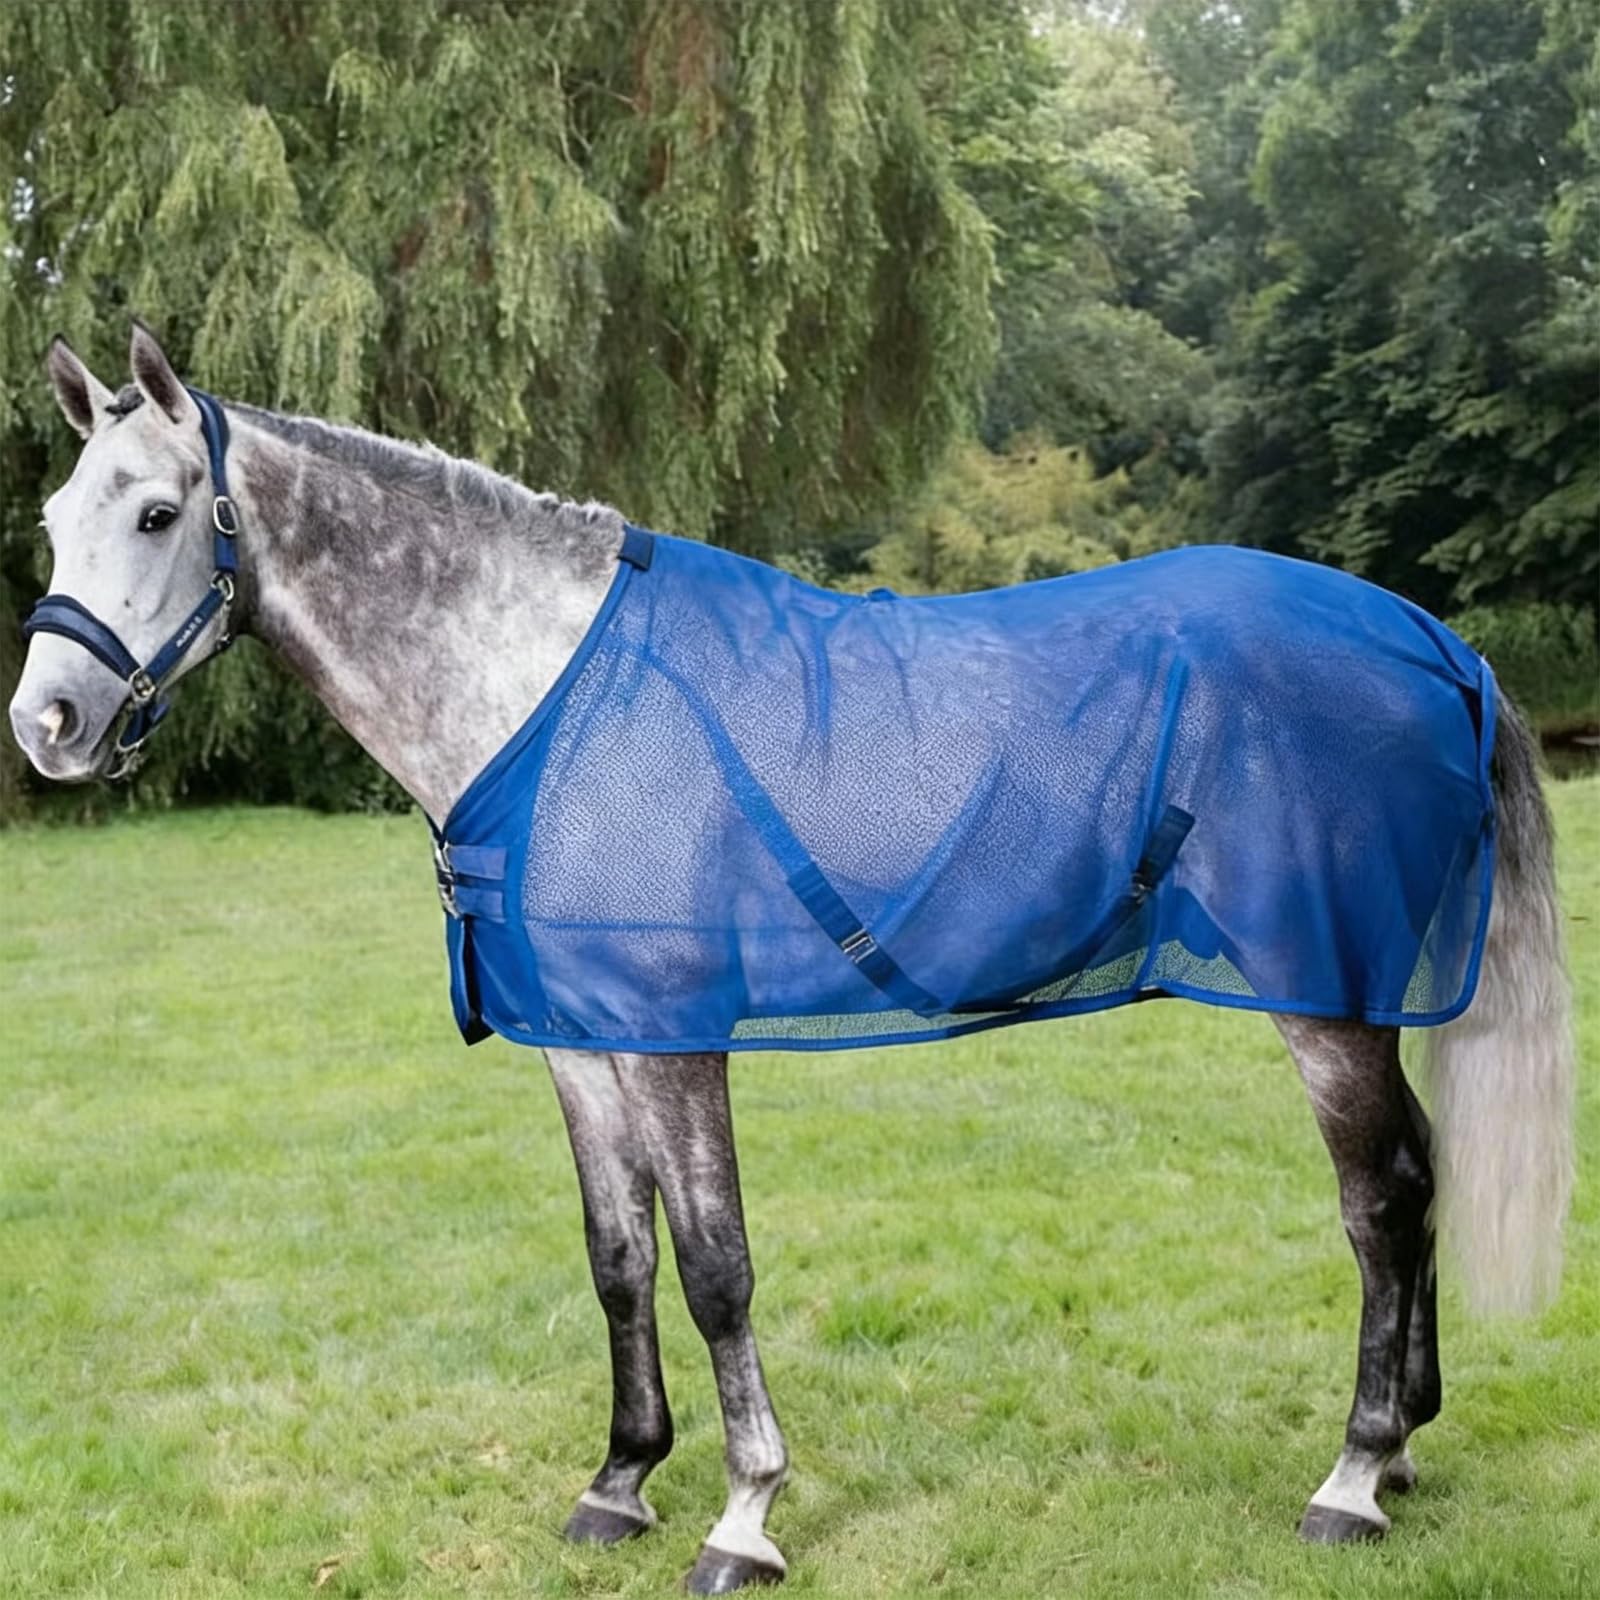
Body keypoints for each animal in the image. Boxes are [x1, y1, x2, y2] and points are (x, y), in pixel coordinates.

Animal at [9, 323, 1574, 1594]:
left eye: (157, 512)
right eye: (54, 519)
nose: (47, 725)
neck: (542, 690)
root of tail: (1429, 637)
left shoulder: (675, 1039)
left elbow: (716, 1268)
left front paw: (744, 1515)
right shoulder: (581, 1045)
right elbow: (620, 1260)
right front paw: (620, 1482)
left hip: (1323, 1001)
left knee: (1380, 1204)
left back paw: (1353, 1477)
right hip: (1357, 998)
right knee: (1420, 1176)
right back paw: (1407, 1447)